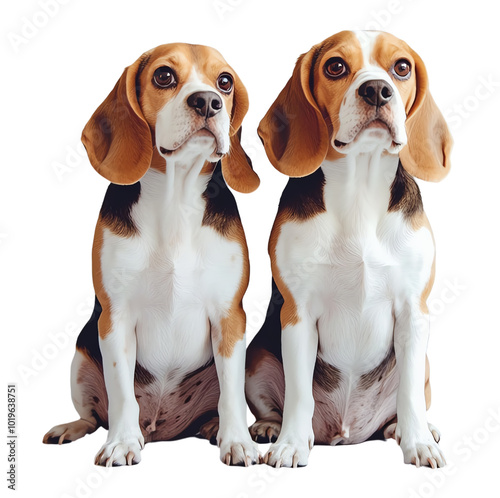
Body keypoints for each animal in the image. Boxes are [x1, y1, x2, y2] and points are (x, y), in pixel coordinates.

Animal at [42, 42, 262, 466]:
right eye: (164, 76)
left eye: (225, 82)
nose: (209, 101)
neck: (175, 202)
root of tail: (162, 427)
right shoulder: (115, 317)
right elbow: (121, 394)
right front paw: (121, 443)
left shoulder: (229, 316)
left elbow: (230, 395)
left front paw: (237, 442)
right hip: (81, 358)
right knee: (93, 414)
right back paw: (73, 428)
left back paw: (211, 428)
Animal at [246, 30, 454, 466]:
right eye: (336, 66)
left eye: (402, 67)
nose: (377, 89)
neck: (360, 190)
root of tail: (345, 432)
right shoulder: (297, 313)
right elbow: (299, 394)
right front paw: (290, 444)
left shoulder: (414, 310)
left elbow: (411, 396)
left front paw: (418, 443)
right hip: (256, 358)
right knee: (276, 401)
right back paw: (271, 427)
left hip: (423, 359)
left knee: (407, 399)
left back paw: (406, 429)